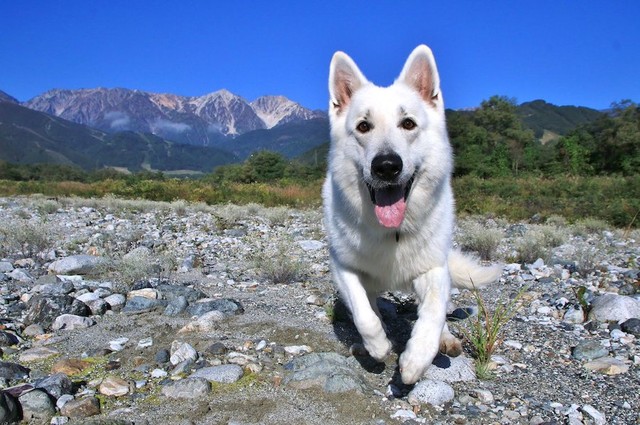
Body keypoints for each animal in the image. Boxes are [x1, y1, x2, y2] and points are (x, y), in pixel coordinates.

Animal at [324, 44, 500, 382]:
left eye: (408, 124)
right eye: (363, 126)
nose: (387, 166)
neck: (391, 232)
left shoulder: (433, 269)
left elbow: (432, 313)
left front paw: (417, 359)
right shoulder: (343, 269)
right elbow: (364, 312)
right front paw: (378, 345)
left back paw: (446, 340)